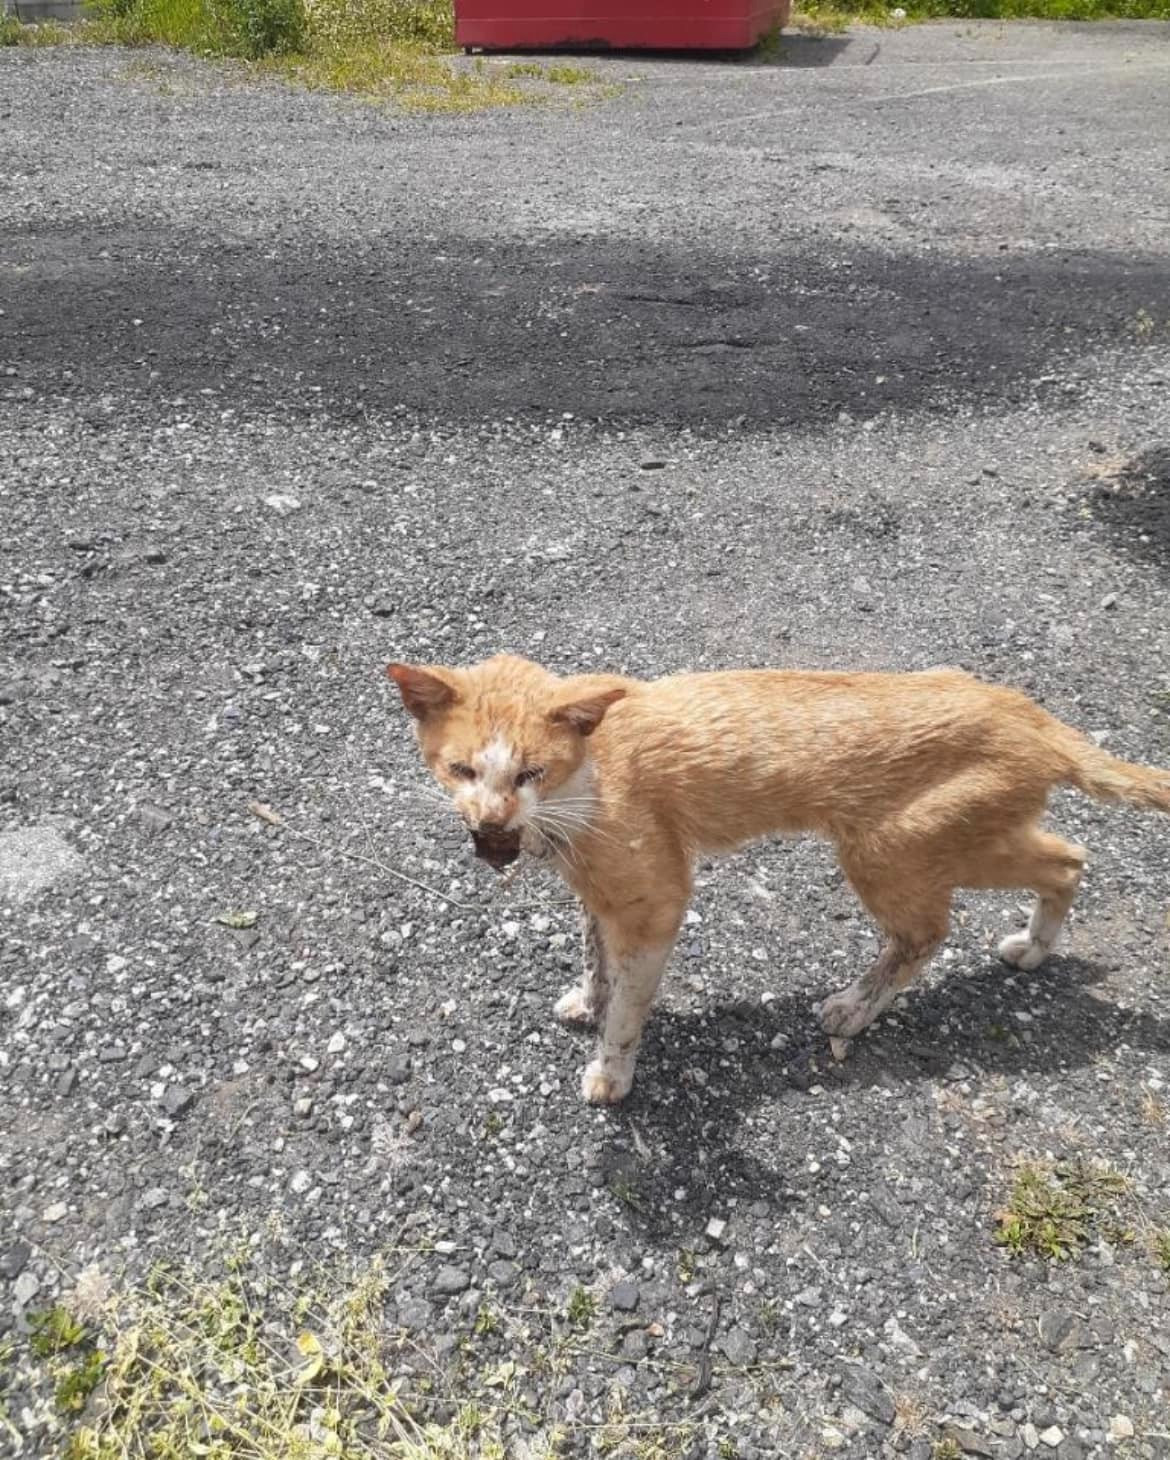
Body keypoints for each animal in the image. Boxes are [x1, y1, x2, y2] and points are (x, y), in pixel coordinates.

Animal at [386, 654, 1170, 1106]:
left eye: (531, 773)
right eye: (461, 770)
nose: (490, 820)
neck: (584, 790)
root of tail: (1031, 715)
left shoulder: (656, 901)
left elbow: (628, 1013)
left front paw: (612, 1074)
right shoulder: (597, 894)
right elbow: (595, 957)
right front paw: (587, 997)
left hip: (890, 849)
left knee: (929, 932)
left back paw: (854, 1008)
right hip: (965, 837)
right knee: (1069, 856)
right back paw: (1035, 947)